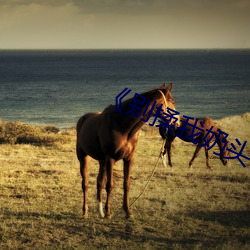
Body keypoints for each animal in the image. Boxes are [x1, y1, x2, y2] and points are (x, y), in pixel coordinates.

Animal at [75, 82, 178, 219]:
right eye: (172, 101)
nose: (177, 122)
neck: (122, 125)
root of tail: (82, 119)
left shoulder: (129, 158)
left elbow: (126, 184)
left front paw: (128, 211)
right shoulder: (110, 159)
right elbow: (110, 185)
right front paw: (108, 213)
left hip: (102, 161)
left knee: (99, 182)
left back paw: (100, 211)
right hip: (84, 158)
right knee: (85, 184)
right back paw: (85, 212)